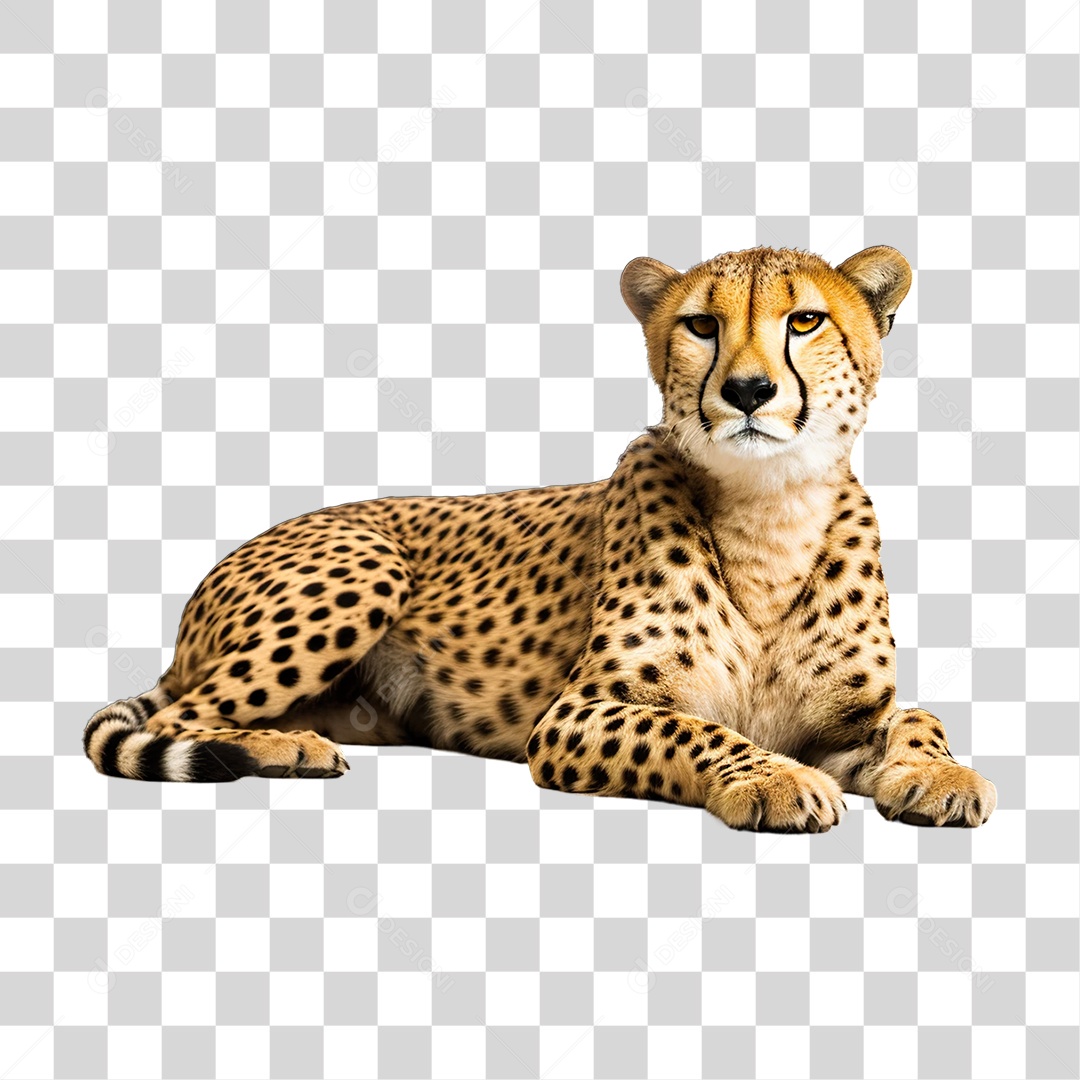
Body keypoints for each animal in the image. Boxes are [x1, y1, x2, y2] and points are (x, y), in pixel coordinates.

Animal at [84, 244, 997, 832]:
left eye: (805, 320)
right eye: (701, 326)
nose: (747, 390)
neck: (769, 515)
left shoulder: (846, 722)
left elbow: (920, 717)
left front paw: (942, 774)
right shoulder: (574, 713)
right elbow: (697, 730)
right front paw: (773, 778)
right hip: (364, 565)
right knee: (185, 717)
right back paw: (282, 746)